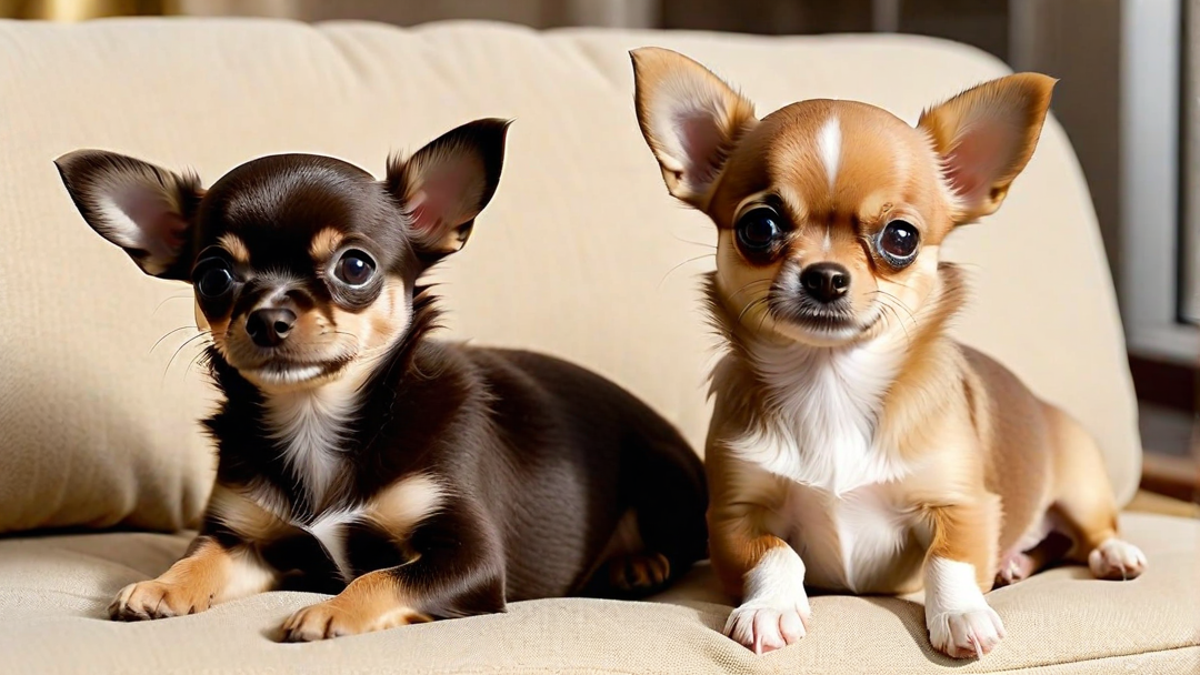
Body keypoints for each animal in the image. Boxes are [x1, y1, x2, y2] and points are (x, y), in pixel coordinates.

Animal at [56, 118, 705, 638]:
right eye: (212, 278)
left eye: (355, 266)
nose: (267, 317)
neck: (316, 415)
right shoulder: (246, 539)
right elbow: (203, 557)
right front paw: (163, 584)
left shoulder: (470, 559)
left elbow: (383, 577)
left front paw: (330, 610)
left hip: (662, 470)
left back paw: (637, 563)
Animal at [628, 48, 1142, 658]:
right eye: (759, 226)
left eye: (901, 238)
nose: (826, 276)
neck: (831, 383)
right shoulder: (733, 517)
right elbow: (775, 553)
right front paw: (770, 608)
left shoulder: (962, 505)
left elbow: (950, 559)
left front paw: (962, 614)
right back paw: (1015, 563)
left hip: (1083, 487)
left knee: (1095, 530)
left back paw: (1111, 555)